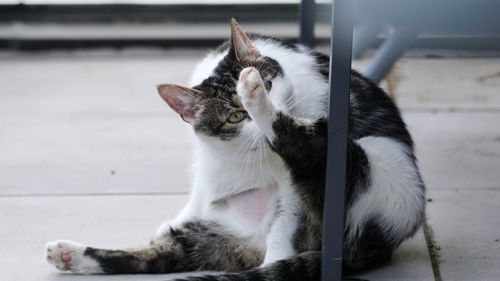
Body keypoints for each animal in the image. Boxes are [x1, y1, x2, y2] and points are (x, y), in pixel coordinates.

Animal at [45, 18, 424, 278]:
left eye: (272, 84)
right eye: (233, 117)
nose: (259, 89)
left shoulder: (299, 162)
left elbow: (289, 212)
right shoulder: (207, 150)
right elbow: (201, 181)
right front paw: (181, 212)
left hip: (354, 163)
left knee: (303, 147)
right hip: (211, 238)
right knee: (156, 256)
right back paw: (70, 254)